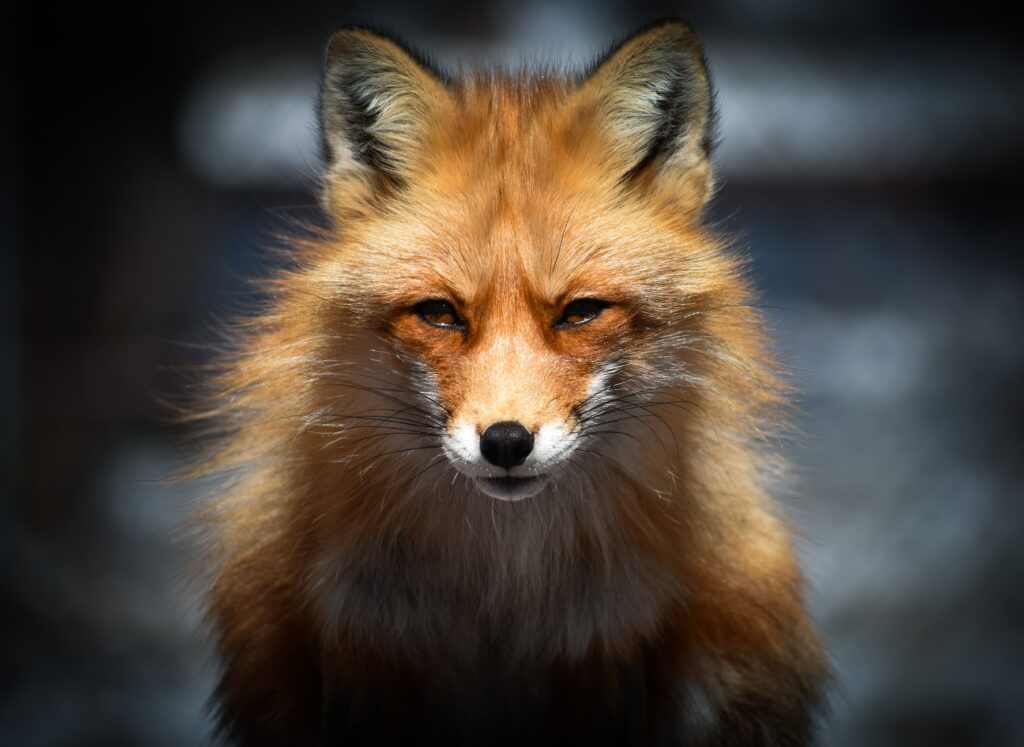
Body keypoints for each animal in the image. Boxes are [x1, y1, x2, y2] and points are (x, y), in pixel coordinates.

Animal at [191, 18, 828, 746]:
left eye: (580, 312)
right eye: (440, 313)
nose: (504, 443)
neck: (504, 593)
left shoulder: (607, 645)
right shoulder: (366, 642)